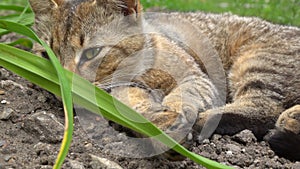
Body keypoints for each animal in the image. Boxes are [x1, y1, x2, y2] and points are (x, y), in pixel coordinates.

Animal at [28, 0, 300, 161]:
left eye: (91, 53)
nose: (63, 87)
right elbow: (131, 103)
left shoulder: (198, 78)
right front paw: (158, 121)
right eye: (46, 55)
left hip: (257, 61)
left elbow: (183, 95)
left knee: (264, 108)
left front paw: (175, 118)